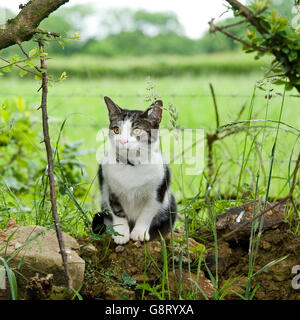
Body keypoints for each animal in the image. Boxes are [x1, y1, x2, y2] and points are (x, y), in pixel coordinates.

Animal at [91, 96, 176, 244]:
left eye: (136, 130)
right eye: (116, 130)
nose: (123, 141)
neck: (131, 164)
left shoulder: (158, 189)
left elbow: (147, 212)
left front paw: (139, 233)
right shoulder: (109, 186)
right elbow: (117, 210)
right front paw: (121, 233)